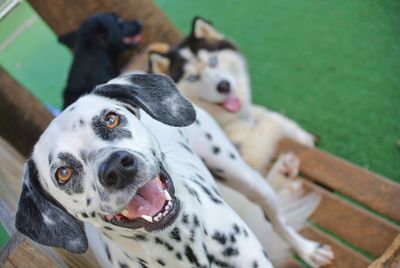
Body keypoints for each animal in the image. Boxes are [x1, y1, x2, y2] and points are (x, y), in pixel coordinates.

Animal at [15, 74, 332, 268]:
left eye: (111, 119)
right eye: (63, 173)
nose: (117, 166)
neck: (184, 248)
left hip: (245, 176)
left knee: (277, 220)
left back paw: (307, 248)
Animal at [148, 17, 318, 179]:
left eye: (213, 61)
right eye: (193, 78)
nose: (224, 86)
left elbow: (267, 113)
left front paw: (301, 136)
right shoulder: (247, 156)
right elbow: (269, 122)